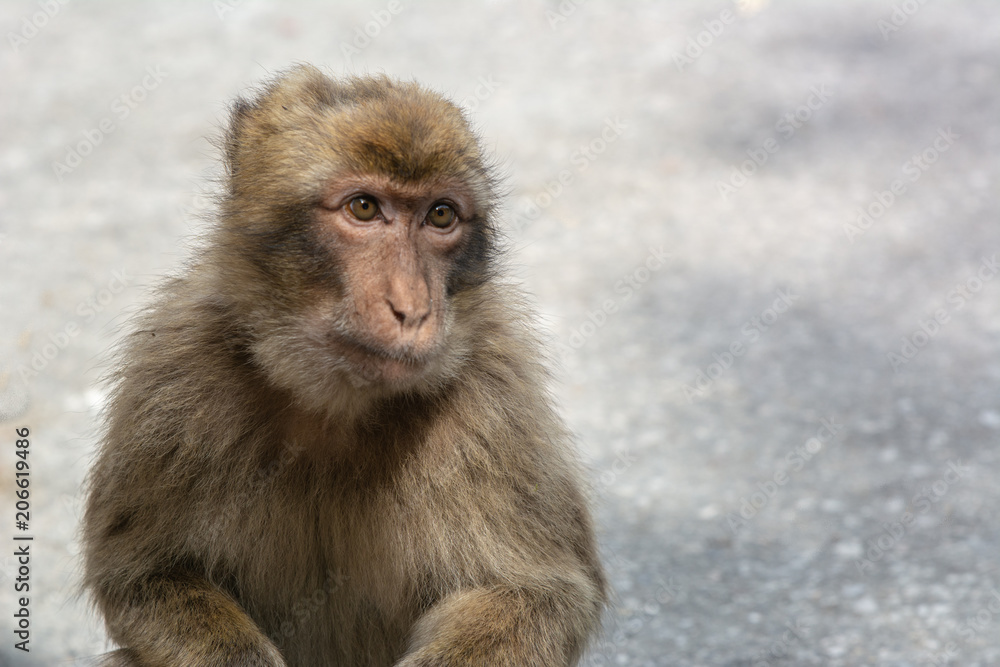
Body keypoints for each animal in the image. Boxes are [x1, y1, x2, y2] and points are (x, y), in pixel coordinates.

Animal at [81, 64, 606, 667]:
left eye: (441, 215)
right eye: (364, 208)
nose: (413, 307)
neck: (334, 406)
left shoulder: (498, 400)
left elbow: (544, 595)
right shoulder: (172, 379)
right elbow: (141, 575)